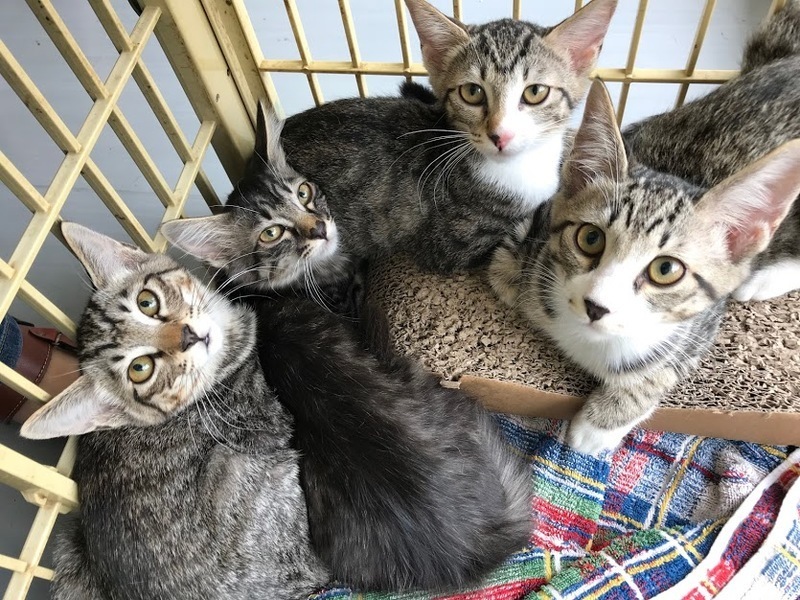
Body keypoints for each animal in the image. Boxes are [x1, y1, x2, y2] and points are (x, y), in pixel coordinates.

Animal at [489, 66, 800, 455]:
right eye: (590, 238)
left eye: (666, 270)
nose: (596, 306)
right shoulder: (539, 219)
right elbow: (505, 265)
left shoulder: (702, 326)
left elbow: (663, 368)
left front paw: (598, 425)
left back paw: (762, 280)